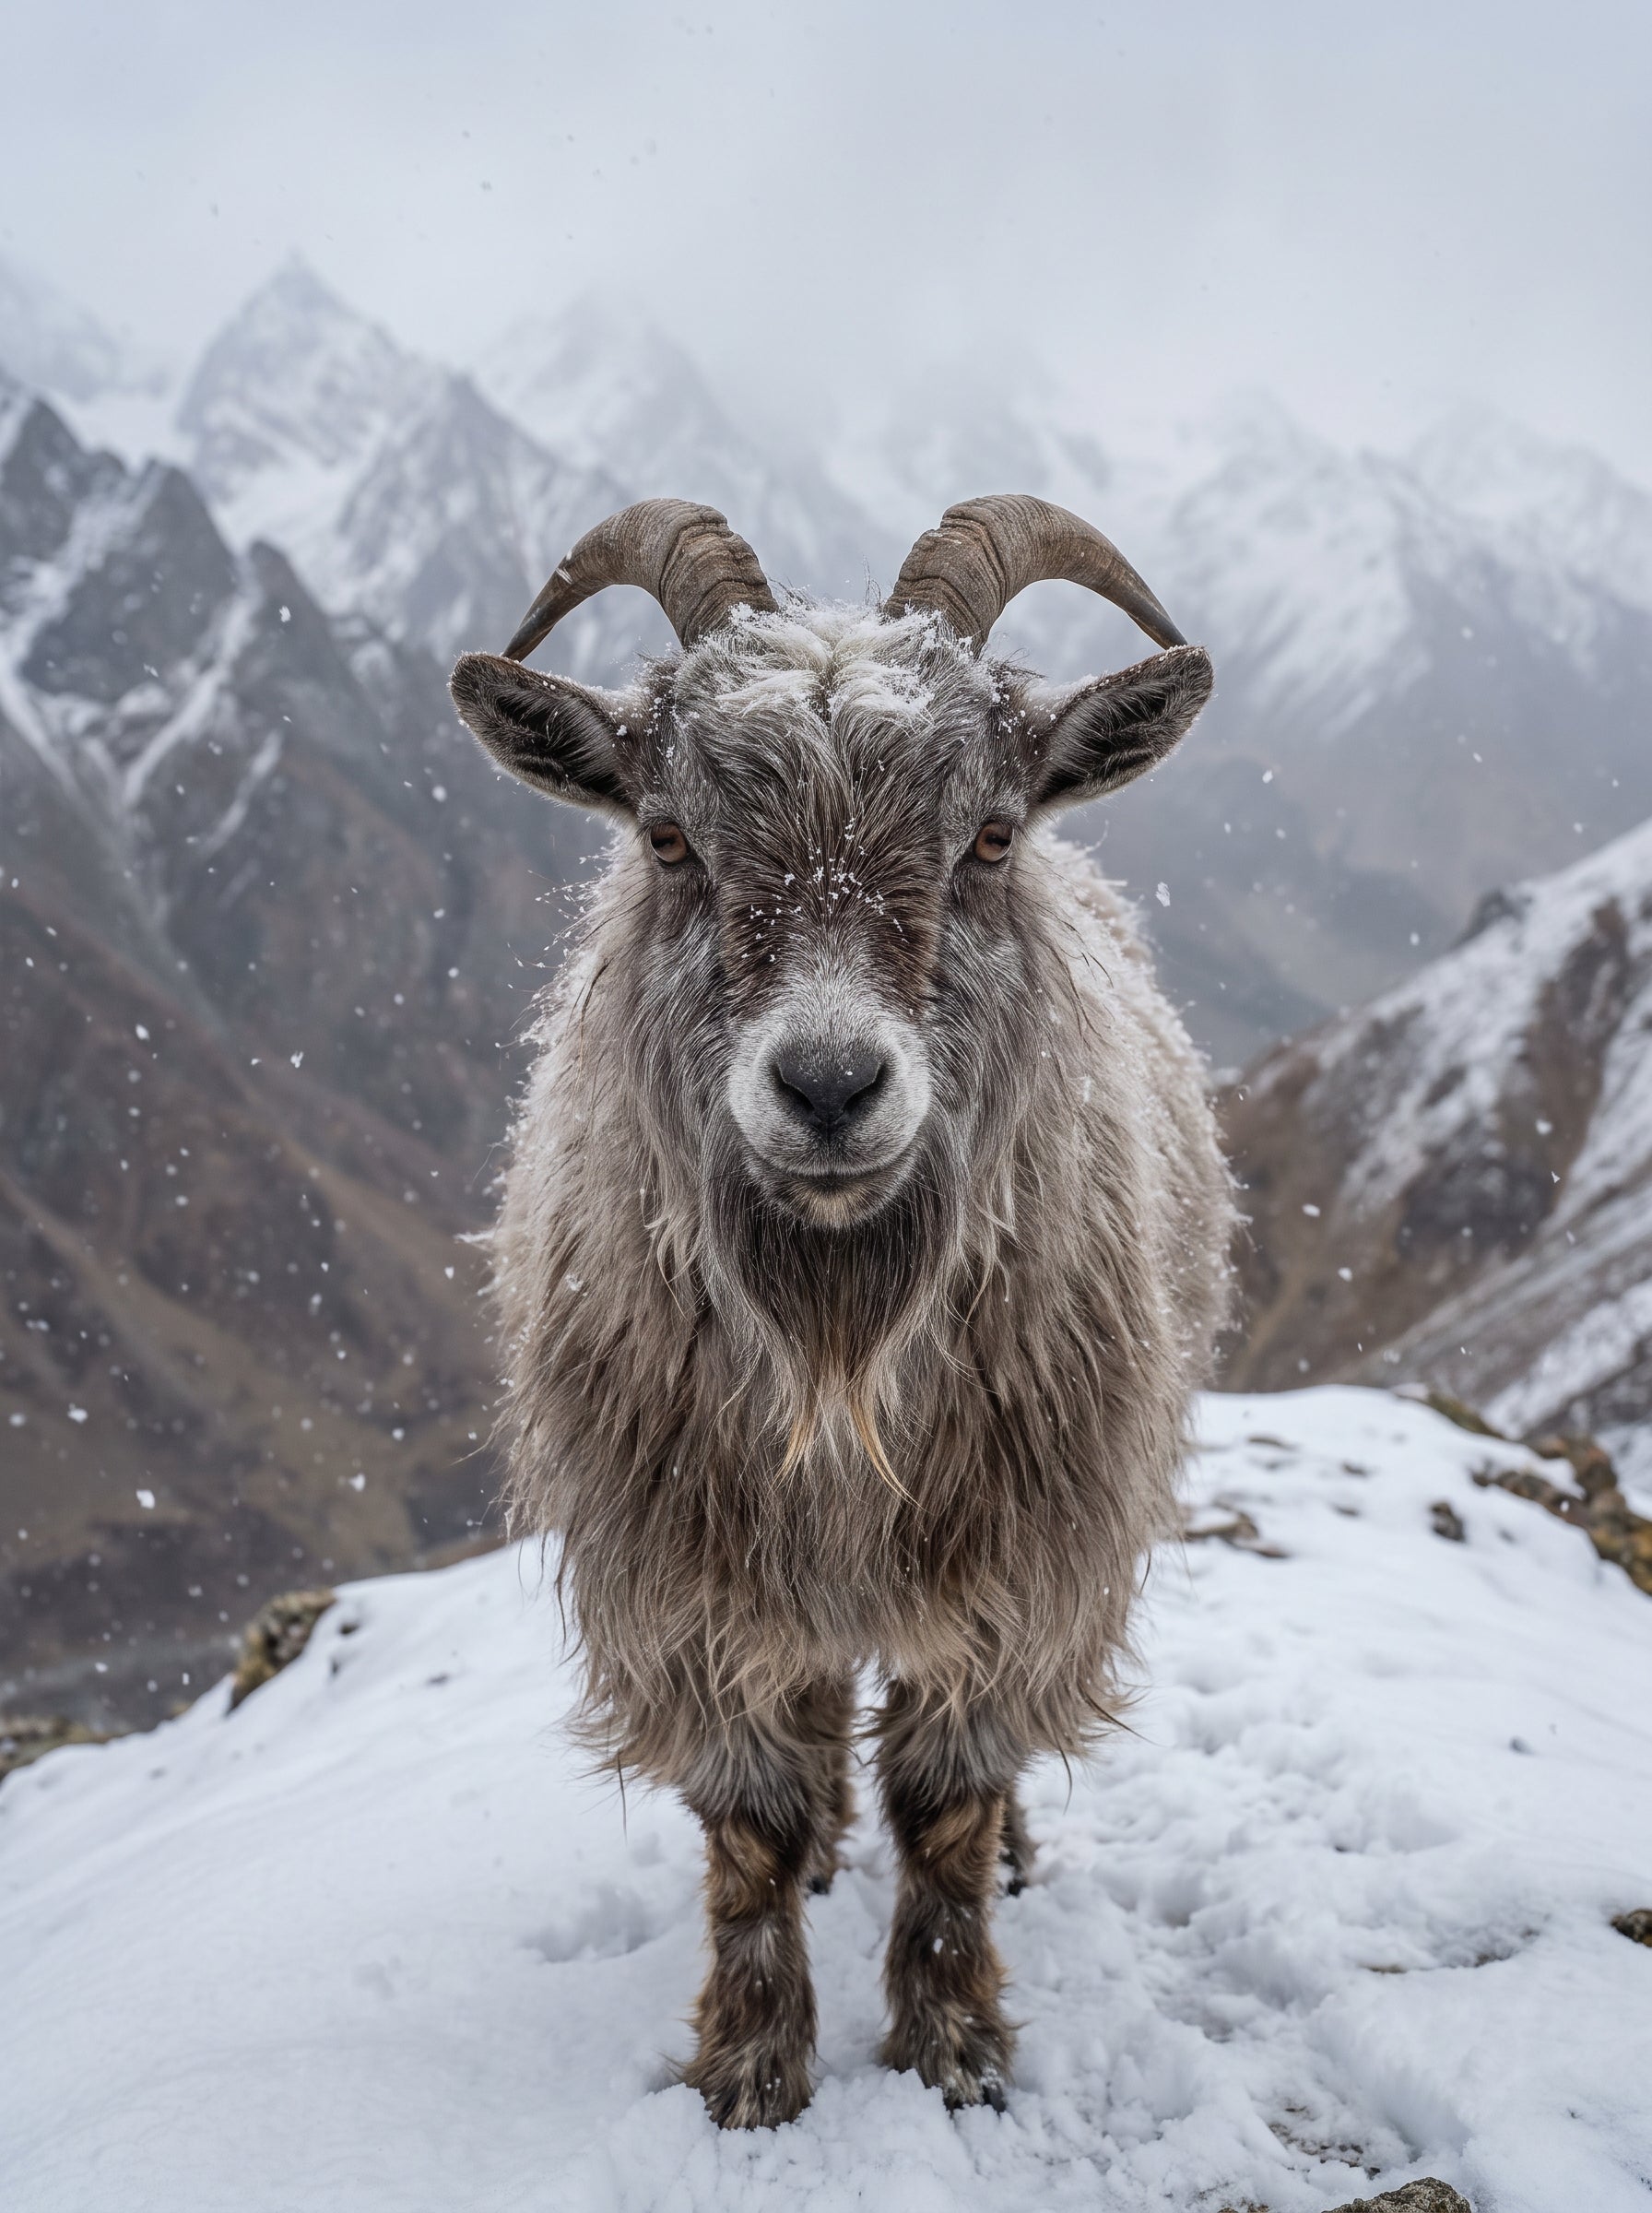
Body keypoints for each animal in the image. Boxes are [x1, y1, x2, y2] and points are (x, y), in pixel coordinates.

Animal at [449, 494, 1233, 2128]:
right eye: (668, 836)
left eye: (990, 833)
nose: (825, 1085)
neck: (839, 1347)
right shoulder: (696, 1579)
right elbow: (746, 1821)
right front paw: (753, 2069)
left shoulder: (1013, 1564)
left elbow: (942, 1802)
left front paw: (953, 2045)